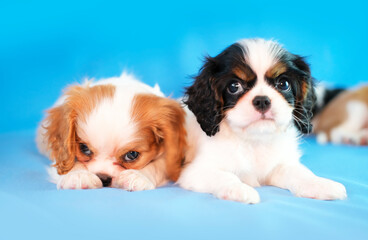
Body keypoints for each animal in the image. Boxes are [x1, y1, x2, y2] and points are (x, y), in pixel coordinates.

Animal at [36, 72, 187, 190]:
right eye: (84, 148)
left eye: (131, 155)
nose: (103, 178)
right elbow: (70, 161)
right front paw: (78, 175)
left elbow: (158, 165)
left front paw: (138, 176)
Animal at [178, 39, 348, 202]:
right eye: (234, 86)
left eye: (283, 84)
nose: (262, 101)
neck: (255, 141)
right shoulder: (194, 172)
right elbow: (225, 176)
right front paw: (239, 190)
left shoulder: (280, 165)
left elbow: (299, 172)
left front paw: (319, 184)